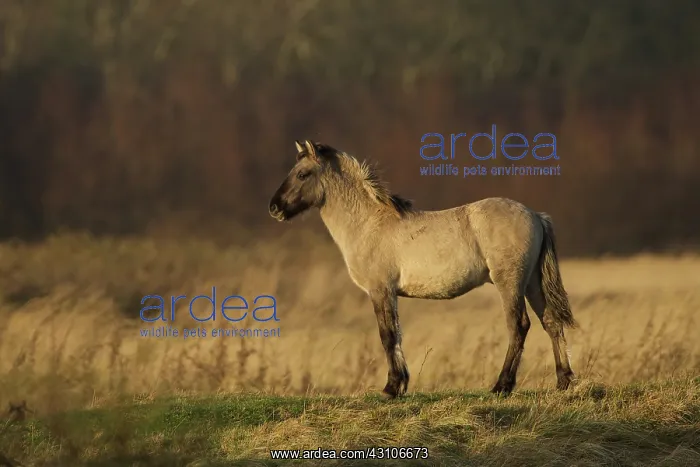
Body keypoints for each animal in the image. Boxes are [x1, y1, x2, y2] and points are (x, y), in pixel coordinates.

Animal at [269, 139, 577, 398]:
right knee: (551, 322)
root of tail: (536, 215)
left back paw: (502, 386)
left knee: (519, 325)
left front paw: (391, 388)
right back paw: (563, 381)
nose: (274, 208)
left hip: (510, 283)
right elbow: (396, 333)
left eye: (302, 174)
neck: (369, 224)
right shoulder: (388, 293)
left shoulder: (380, 290)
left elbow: (387, 335)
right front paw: (400, 384)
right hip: (532, 283)